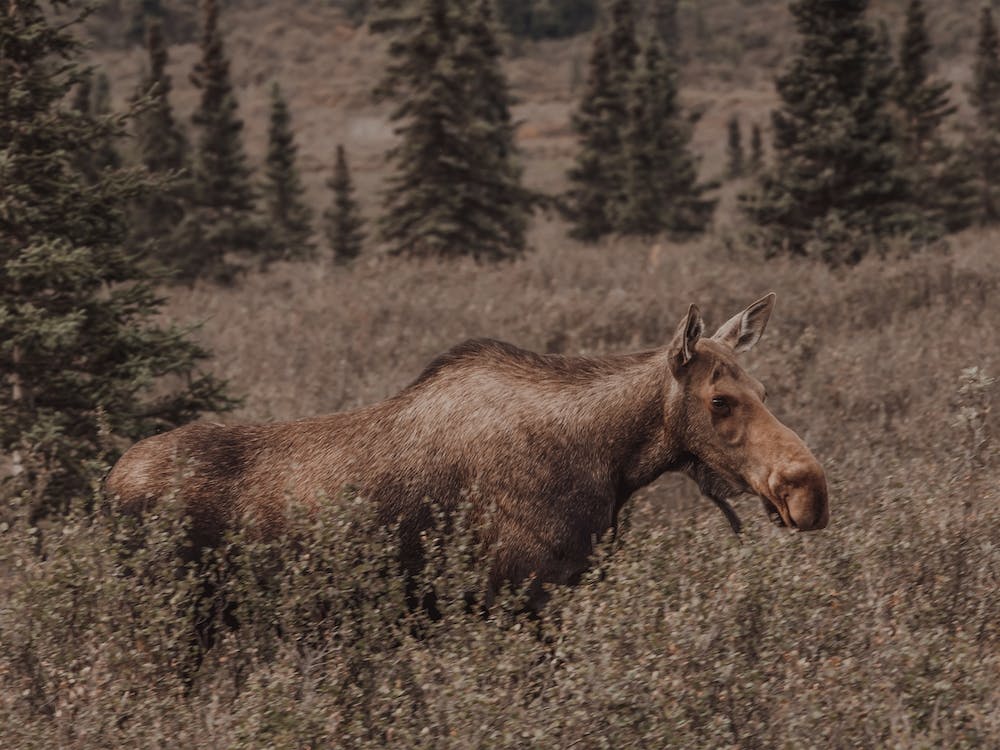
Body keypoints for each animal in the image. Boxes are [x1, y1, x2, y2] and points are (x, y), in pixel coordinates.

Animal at [105, 293, 829, 603]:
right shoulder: (520, 598)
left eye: (762, 388)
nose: (808, 488)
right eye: (720, 400)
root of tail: (107, 487)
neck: (611, 467)